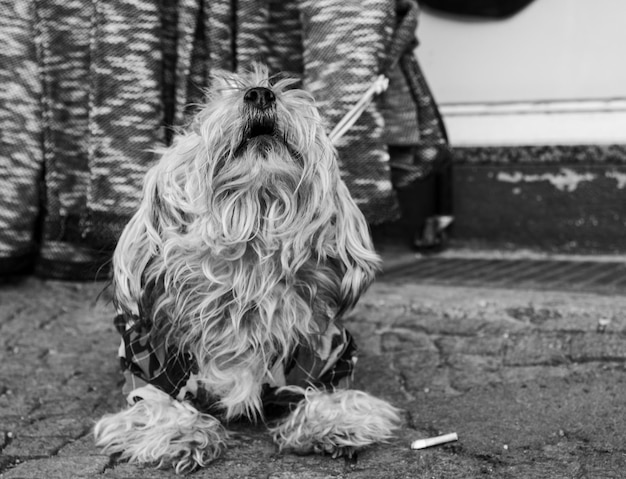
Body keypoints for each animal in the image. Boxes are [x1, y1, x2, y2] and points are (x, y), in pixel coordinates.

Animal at [94, 65, 400, 474]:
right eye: (198, 117)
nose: (259, 94)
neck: (249, 260)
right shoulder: (150, 357)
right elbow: (156, 402)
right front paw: (181, 434)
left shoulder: (326, 350)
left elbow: (328, 391)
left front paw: (331, 421)